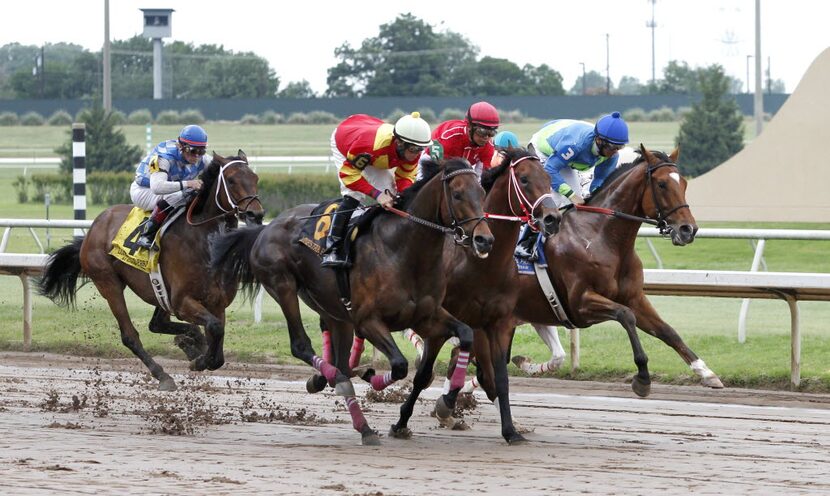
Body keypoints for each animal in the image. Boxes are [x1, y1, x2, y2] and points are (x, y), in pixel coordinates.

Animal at [37, 151, 264, 392]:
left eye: (255, 177)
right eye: (231, 180)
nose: (256, 214)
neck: (205, 242)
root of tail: (93, 229)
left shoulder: (217, 302)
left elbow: (217, 340)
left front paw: (197, 352)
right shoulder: (182, 302)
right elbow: (214, 328)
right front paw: (199, 360)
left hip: (159, 290)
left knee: (157, 324)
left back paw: (188, 343)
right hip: (108, 282)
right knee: (130, 335)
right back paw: (163, 374)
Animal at [211, 159, 494, 446]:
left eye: (482, 193)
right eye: (457, 194)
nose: (484, 239)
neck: (404, 251)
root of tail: (266, 228)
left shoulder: (427, 316)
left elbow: (465, 335)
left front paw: (446, 402)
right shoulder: (368, 320)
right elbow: (400, 365)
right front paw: (374, 379)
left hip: (332, 309)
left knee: (341, 360)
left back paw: (360, 420)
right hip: (283, 285)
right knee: (303, 347)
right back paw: (335, 380)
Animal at [388, 148, 560, 446]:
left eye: (549, 178)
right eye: (524, 179)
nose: (552, 218)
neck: (479, 264)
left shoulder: (496, 323)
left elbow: (499, 378)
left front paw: (511, 431)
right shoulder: (442, 321)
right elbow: (423, 374)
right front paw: (401, 422)